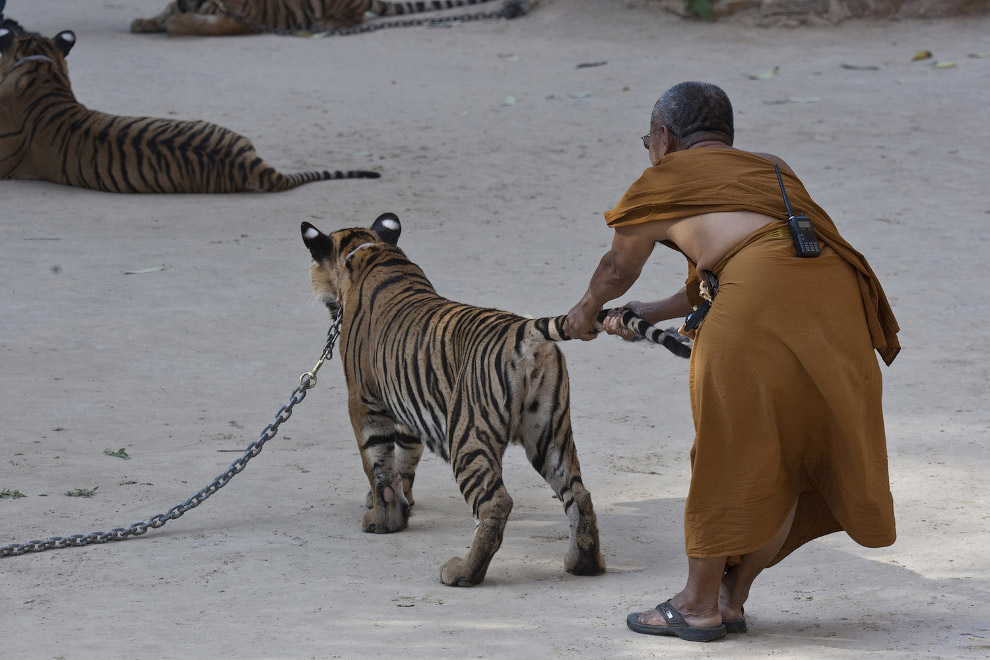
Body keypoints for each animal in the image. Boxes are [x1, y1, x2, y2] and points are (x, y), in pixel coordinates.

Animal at [302, 214, 608, 584]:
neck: (367, 249)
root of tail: (524, 330)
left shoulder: (364, 402)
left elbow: (378, 465)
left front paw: (381, 520)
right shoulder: (408, 409)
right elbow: (404, 461)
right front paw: (403, 506)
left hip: (467, 434)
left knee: (496, 503)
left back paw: (463, 573)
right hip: (550, 432)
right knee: (579, 494)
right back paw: (584, 562)